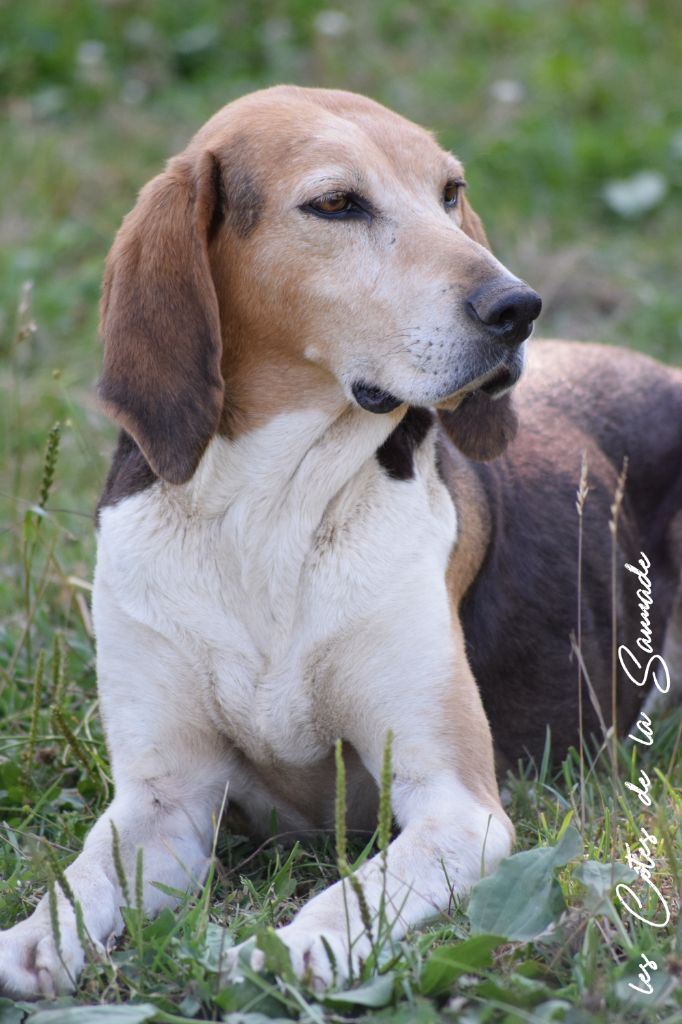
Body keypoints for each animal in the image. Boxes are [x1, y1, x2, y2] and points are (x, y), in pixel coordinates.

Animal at [1, 83, 679, 995]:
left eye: (450, 192)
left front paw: (292, 947)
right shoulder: (165, 798)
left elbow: (358, 891)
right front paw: (39, 937)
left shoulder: (457, 806)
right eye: (335, 205)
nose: (517, 307)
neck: (270, 511)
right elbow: (84, 876)